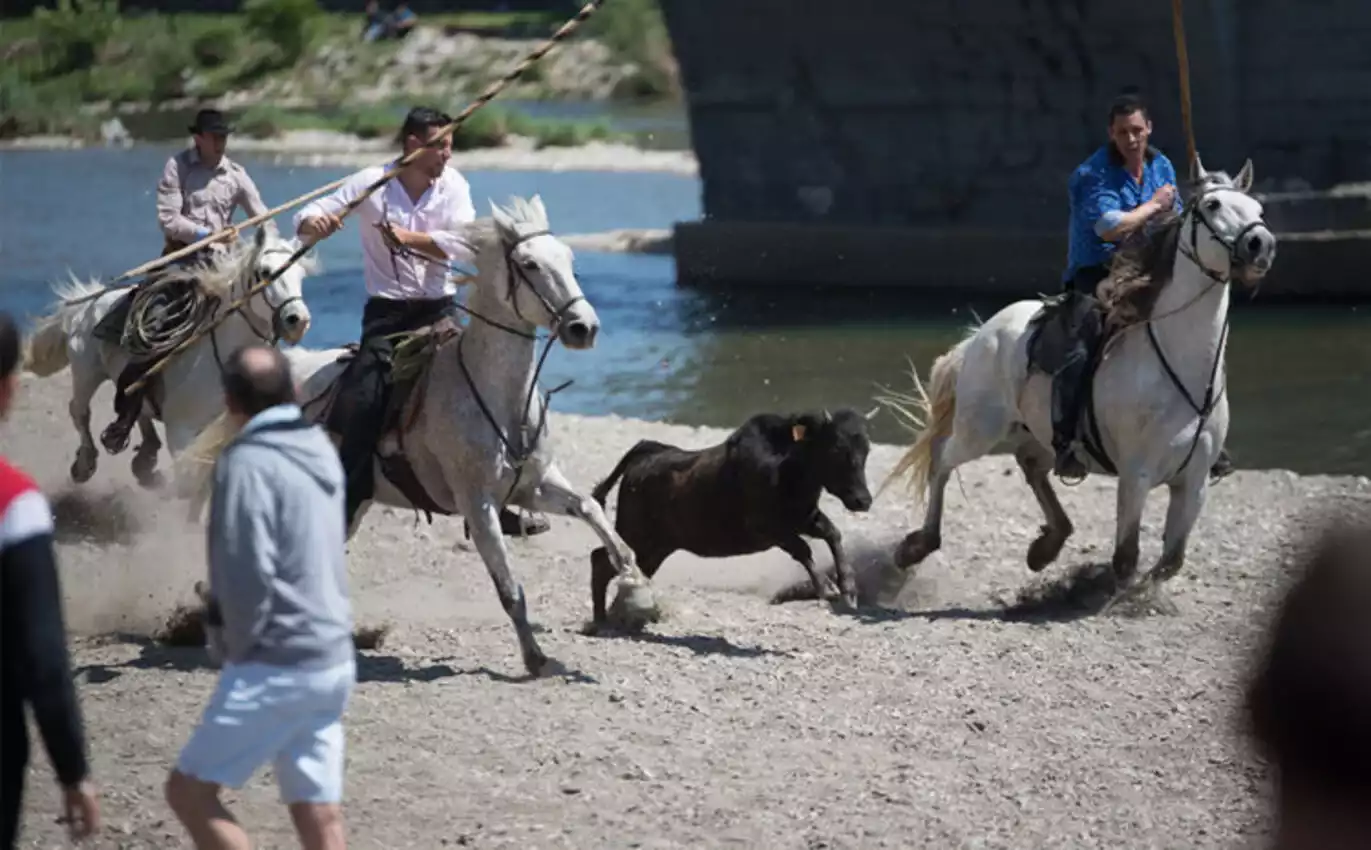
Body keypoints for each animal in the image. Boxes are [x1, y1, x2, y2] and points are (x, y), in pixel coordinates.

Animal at [22, 226, 316, 490]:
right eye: (265, 272)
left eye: (301, 274)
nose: (297, 321)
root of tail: (88, 302)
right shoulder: (181, 433)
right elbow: (188, 483)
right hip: (86, 372)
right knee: (79, 411)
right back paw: (85, 464)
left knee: (135, 405)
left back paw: (143, 459)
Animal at [183, 194, 658, 677]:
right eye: (529, 264)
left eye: (568, 260)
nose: (584, 327)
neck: (495, 392)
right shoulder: (477, 504)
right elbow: (510, 588)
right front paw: (535, 657)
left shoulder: (534, 486)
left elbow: (590, 508)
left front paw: (632, 577)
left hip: (353, 502)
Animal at [882, 157, 1277, 611]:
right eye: (1212, 204)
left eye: (1257, 208)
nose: (1261, 244)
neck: (1182, 368)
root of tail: (984, 333)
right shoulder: (1136, 475)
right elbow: (1127, 556)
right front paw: (1107, 593)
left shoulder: (1193, 481)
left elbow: (1171, 560)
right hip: (979, 428)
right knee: (943, 460)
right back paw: (917, 545)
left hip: (1037, 430)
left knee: (1029, 464)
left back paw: (1048, 545)